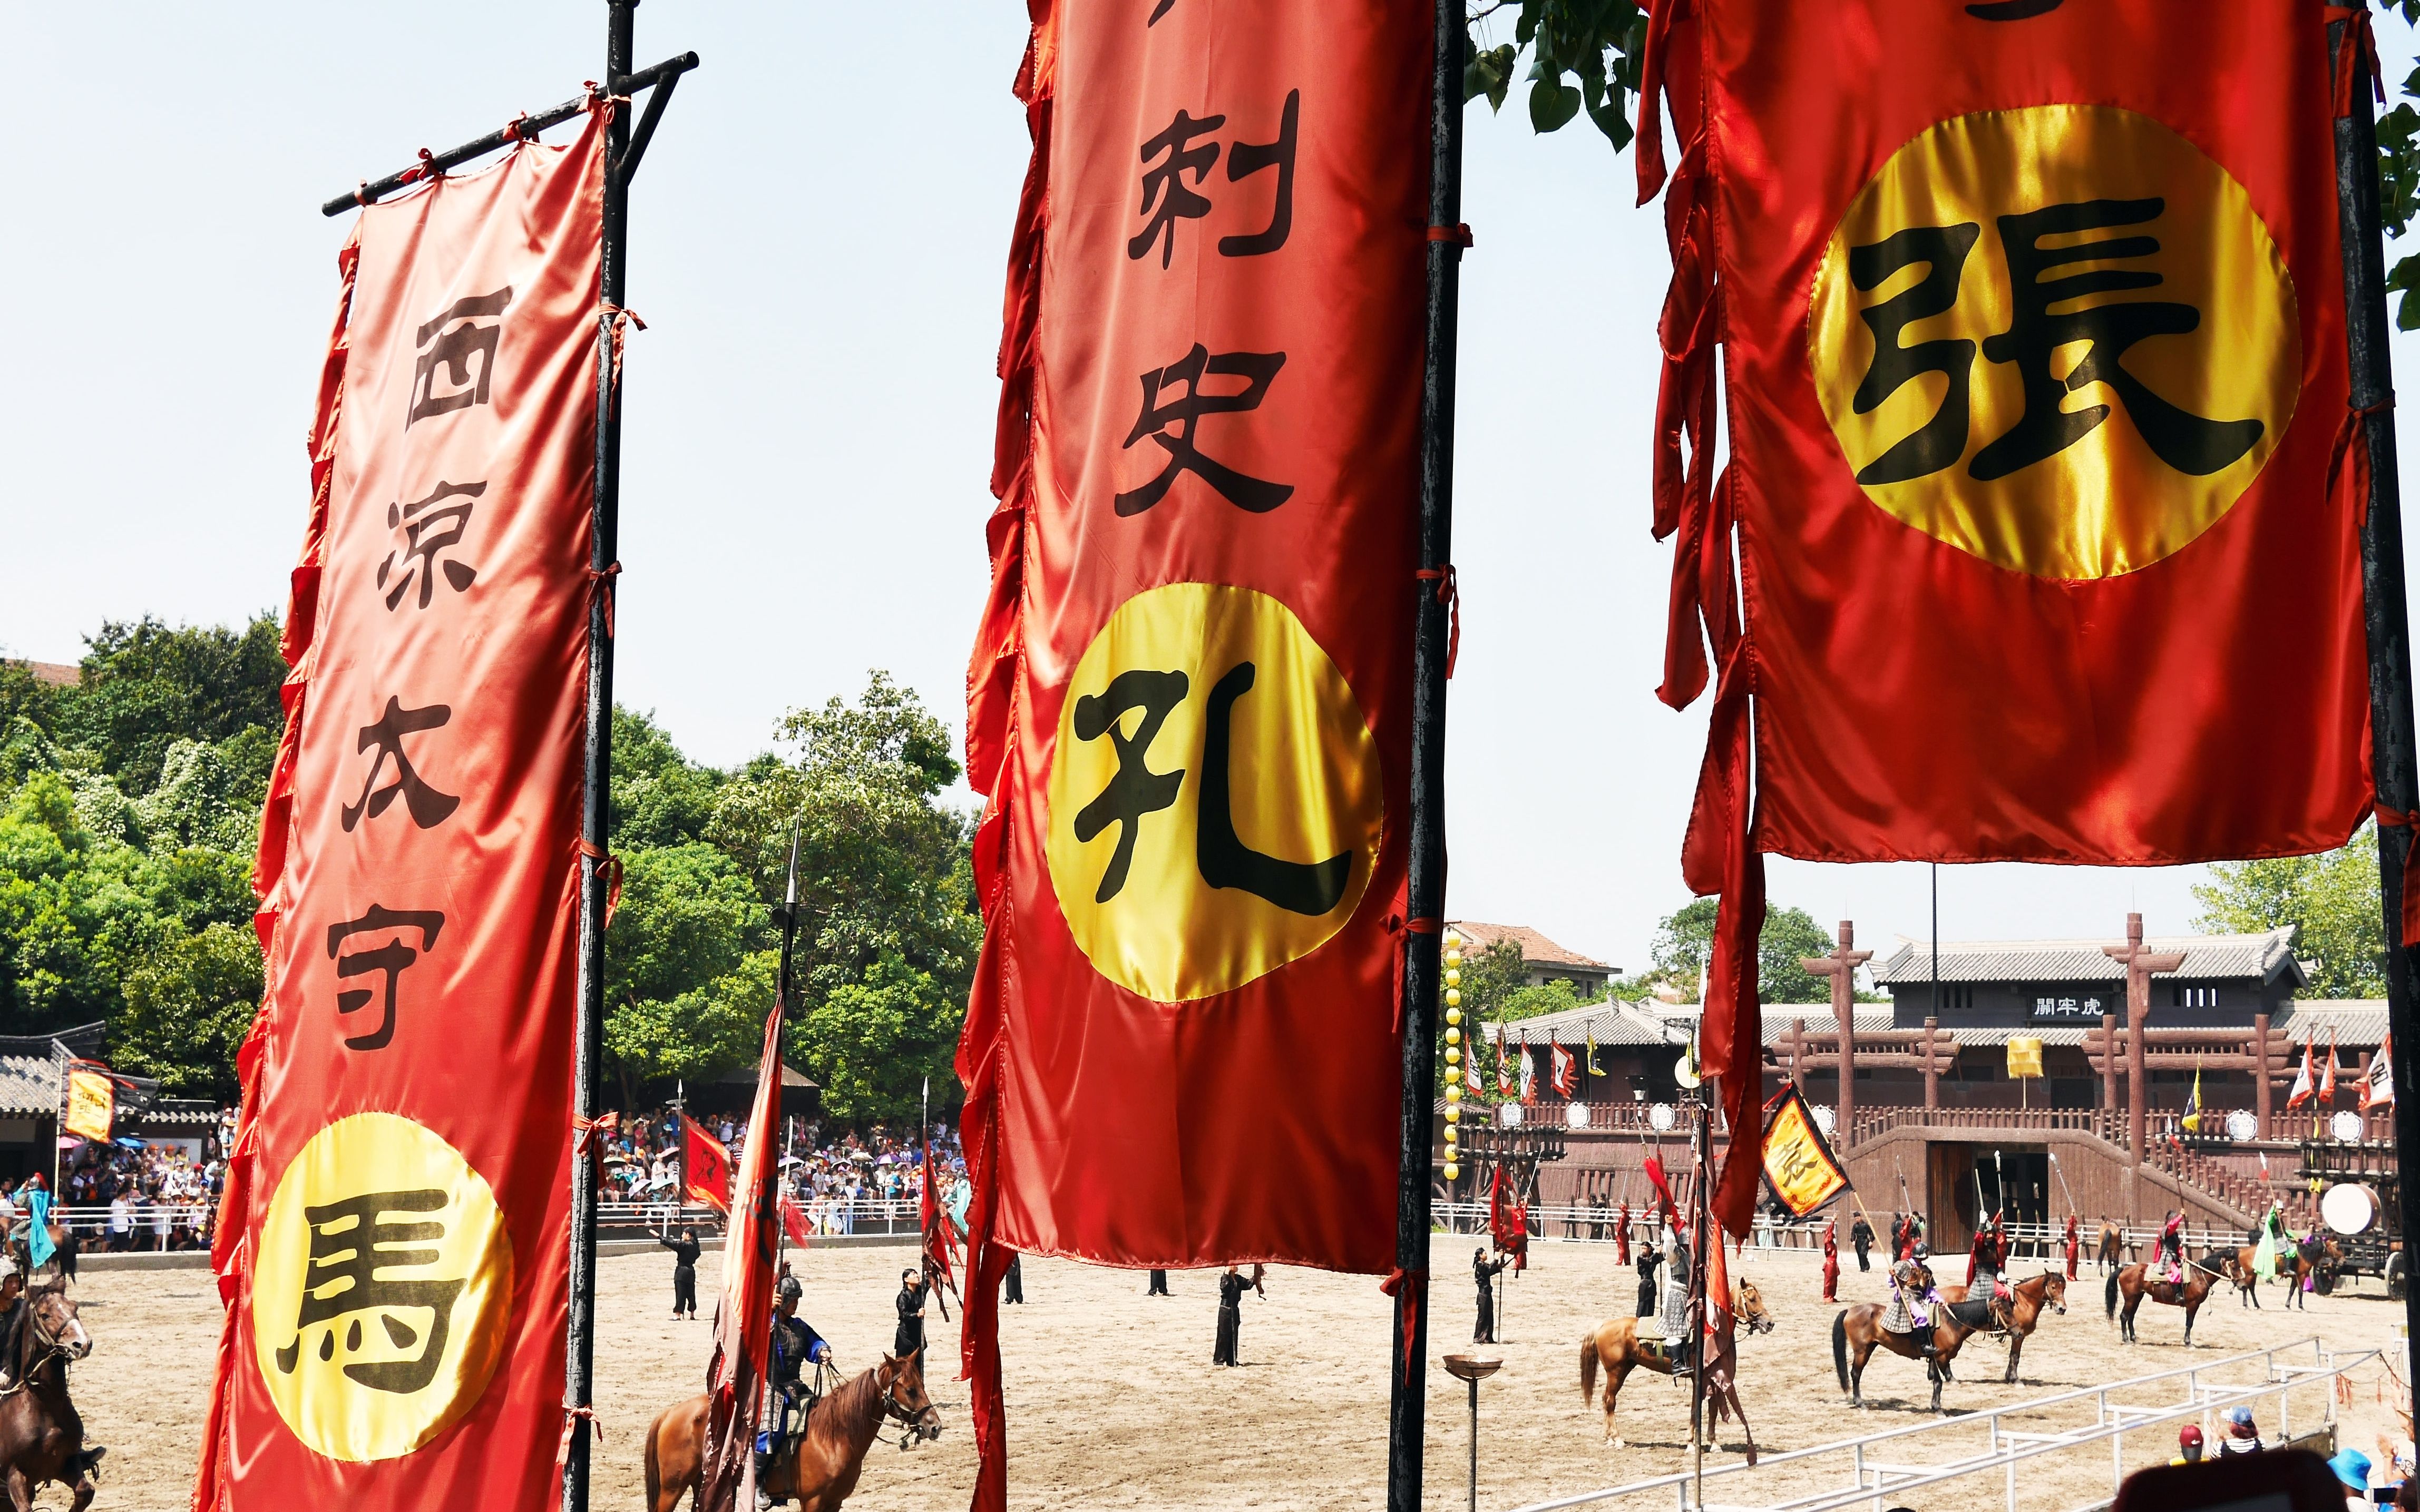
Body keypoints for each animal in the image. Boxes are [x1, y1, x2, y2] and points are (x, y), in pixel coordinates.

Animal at [639, 1354, 939, 1509]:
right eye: (910, 1389)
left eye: (922, 1384)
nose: (934, 1426)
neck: (834, 1437)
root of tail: (670, 1414)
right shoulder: (813, 1502)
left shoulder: (835, 1502)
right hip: (672, 1488)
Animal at [1577, 1277, 1771, 1441]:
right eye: (1752, 1299)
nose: (1770, 1323)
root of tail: (1603, 1325)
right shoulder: (1699, 1378)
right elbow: (1696, 1408)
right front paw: (1691, 1442)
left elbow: (1713, 1408)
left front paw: (1713, 1442)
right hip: (1615, 1372)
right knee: (1610, 1400)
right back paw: (1617, 1439)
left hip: (1624, 1369)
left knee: (1606, 1399)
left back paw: (1609, 1437)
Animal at [1936, 1268, 2071, 1374]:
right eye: (2053, 1287)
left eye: (2064, 1288)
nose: (2062, 1309)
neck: (2023, 1303)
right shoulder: (2018, 1336)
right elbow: (2015, 1357)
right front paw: (2014, 1379)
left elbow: (2013, 1356)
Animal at [2110, 1248, 2217, 1345]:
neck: (2198, 1276)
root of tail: (2125, 1269)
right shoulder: (2193, 1304)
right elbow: (2189, 1323)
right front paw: (2188, 1342)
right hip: (2130, 1299)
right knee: (2124, 1316)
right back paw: (2126, 1340)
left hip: (2137, 1298)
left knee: (2131, 1317)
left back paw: (2134, 1339)